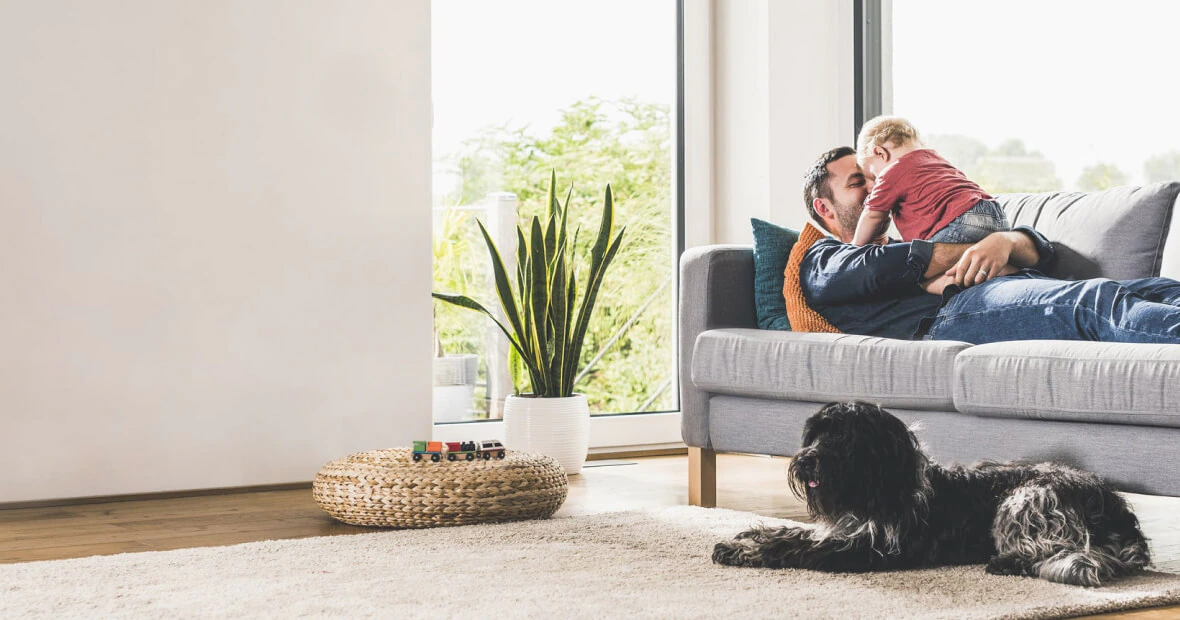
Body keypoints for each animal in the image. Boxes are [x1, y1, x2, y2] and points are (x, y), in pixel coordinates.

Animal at [707, 401, 1151, 585]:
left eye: (844, 439)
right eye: (816, 433)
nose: (806, 461)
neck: (874, 490)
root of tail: (1117, 510)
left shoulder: (866, 551)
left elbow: (794, 548)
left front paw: (747, 549)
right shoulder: (842, 530)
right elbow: (791, 532)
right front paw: (745, 536)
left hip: (1028, 497)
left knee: (1060, 548)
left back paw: (1008, 561)